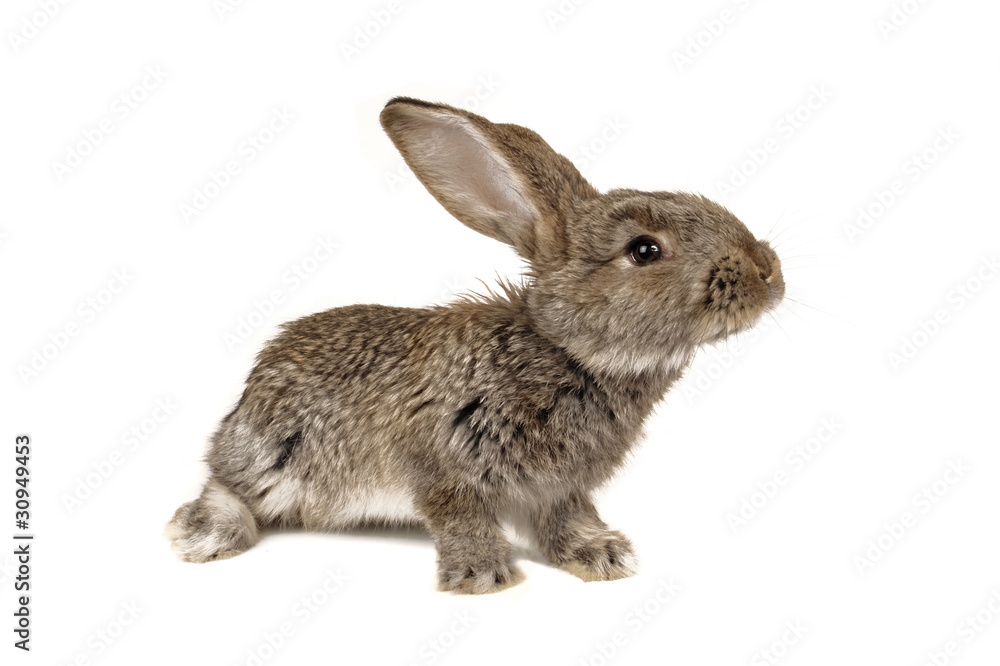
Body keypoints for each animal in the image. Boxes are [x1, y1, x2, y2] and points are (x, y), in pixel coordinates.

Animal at [166, 96, 785, 594]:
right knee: (225, 482)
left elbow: (568, 519)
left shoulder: (558, 489)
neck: (565, 351)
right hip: (275, 453)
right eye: (644, 250)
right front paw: (483, 575)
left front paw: (602, 555)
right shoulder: (443, 462)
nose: (767, 270)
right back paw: (203, 534)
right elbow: (459, 515)